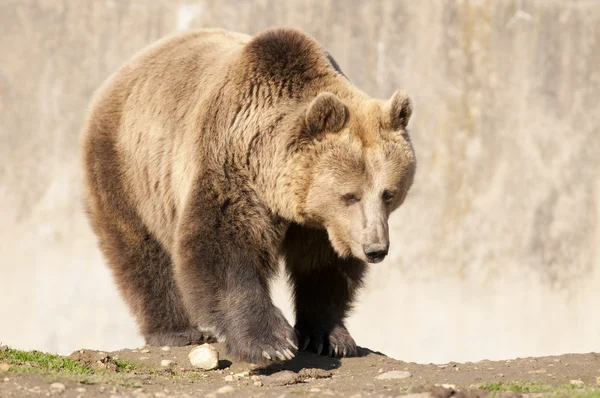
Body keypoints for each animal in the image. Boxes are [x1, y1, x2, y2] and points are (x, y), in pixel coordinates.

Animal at [81, 26, 418, 366]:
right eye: (350, 195)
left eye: (388, 193)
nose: (375, 249)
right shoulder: (232, 163)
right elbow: (222, 245)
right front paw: (271, 342)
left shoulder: (322, 223)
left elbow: (324, 267)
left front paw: (330, 338)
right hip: (128, 167)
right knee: (140, 249)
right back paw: (176, 330)